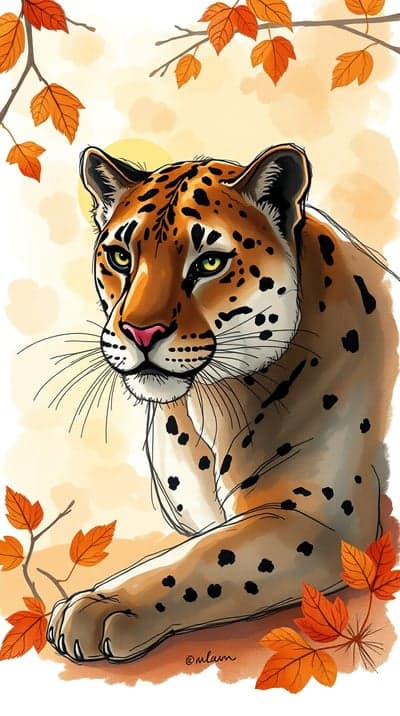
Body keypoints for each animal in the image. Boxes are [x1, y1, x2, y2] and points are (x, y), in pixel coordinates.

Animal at [47, 142, 398, 663]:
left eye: (209, 263)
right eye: (120, 257)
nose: (140, 332)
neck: (208, 408)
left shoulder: (324, 520)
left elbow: (204, 560)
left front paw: (100, 606)